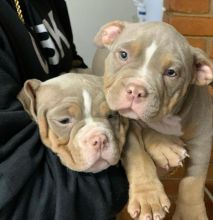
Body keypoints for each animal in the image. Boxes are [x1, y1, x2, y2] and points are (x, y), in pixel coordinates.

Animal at [94, 19, 213, 219]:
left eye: (171, 72)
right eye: (123, 55)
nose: (135, 90)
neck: (166, 120)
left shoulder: (203, 137)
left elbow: (192, 181)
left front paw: (190, 213)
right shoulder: (126, 127)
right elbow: (139, 156)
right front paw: (148, 198)